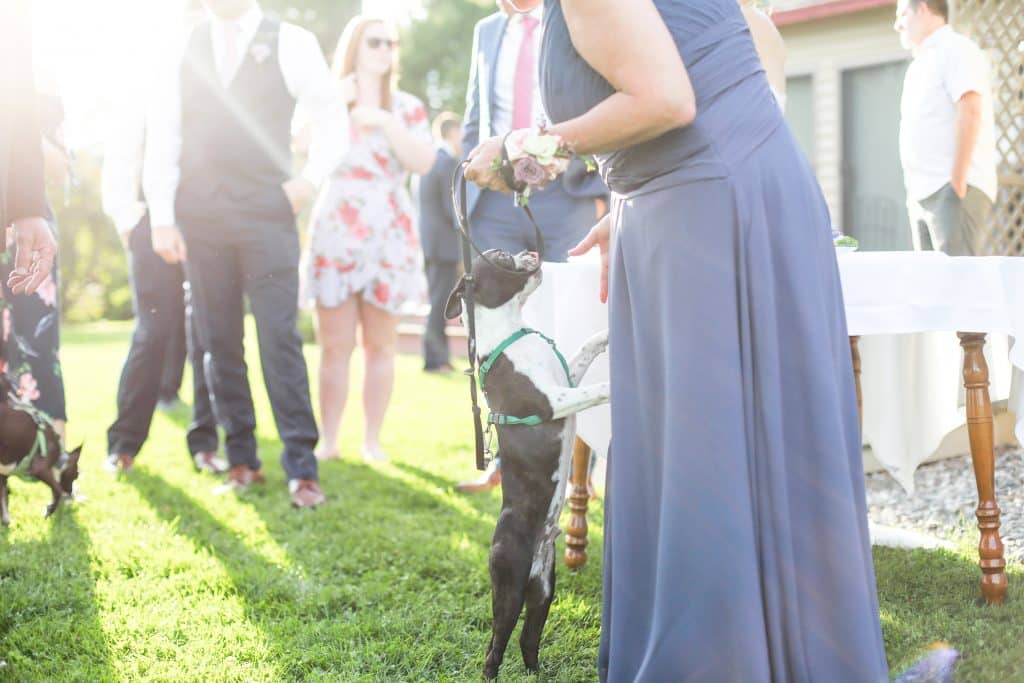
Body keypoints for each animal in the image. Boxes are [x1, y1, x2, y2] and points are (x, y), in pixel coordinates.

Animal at [446, 249, 606, 679]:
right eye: (501, 257)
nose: (530, 252)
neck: (512, 330)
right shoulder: (552, 399)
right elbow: (593, 389)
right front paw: (611, 385)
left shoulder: (566, 378)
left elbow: (584, 351)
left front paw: (605, 335)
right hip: (510, 586)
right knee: (496, 644)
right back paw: (490, 674)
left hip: (544, 592)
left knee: (528, 639)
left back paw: (536, 673)